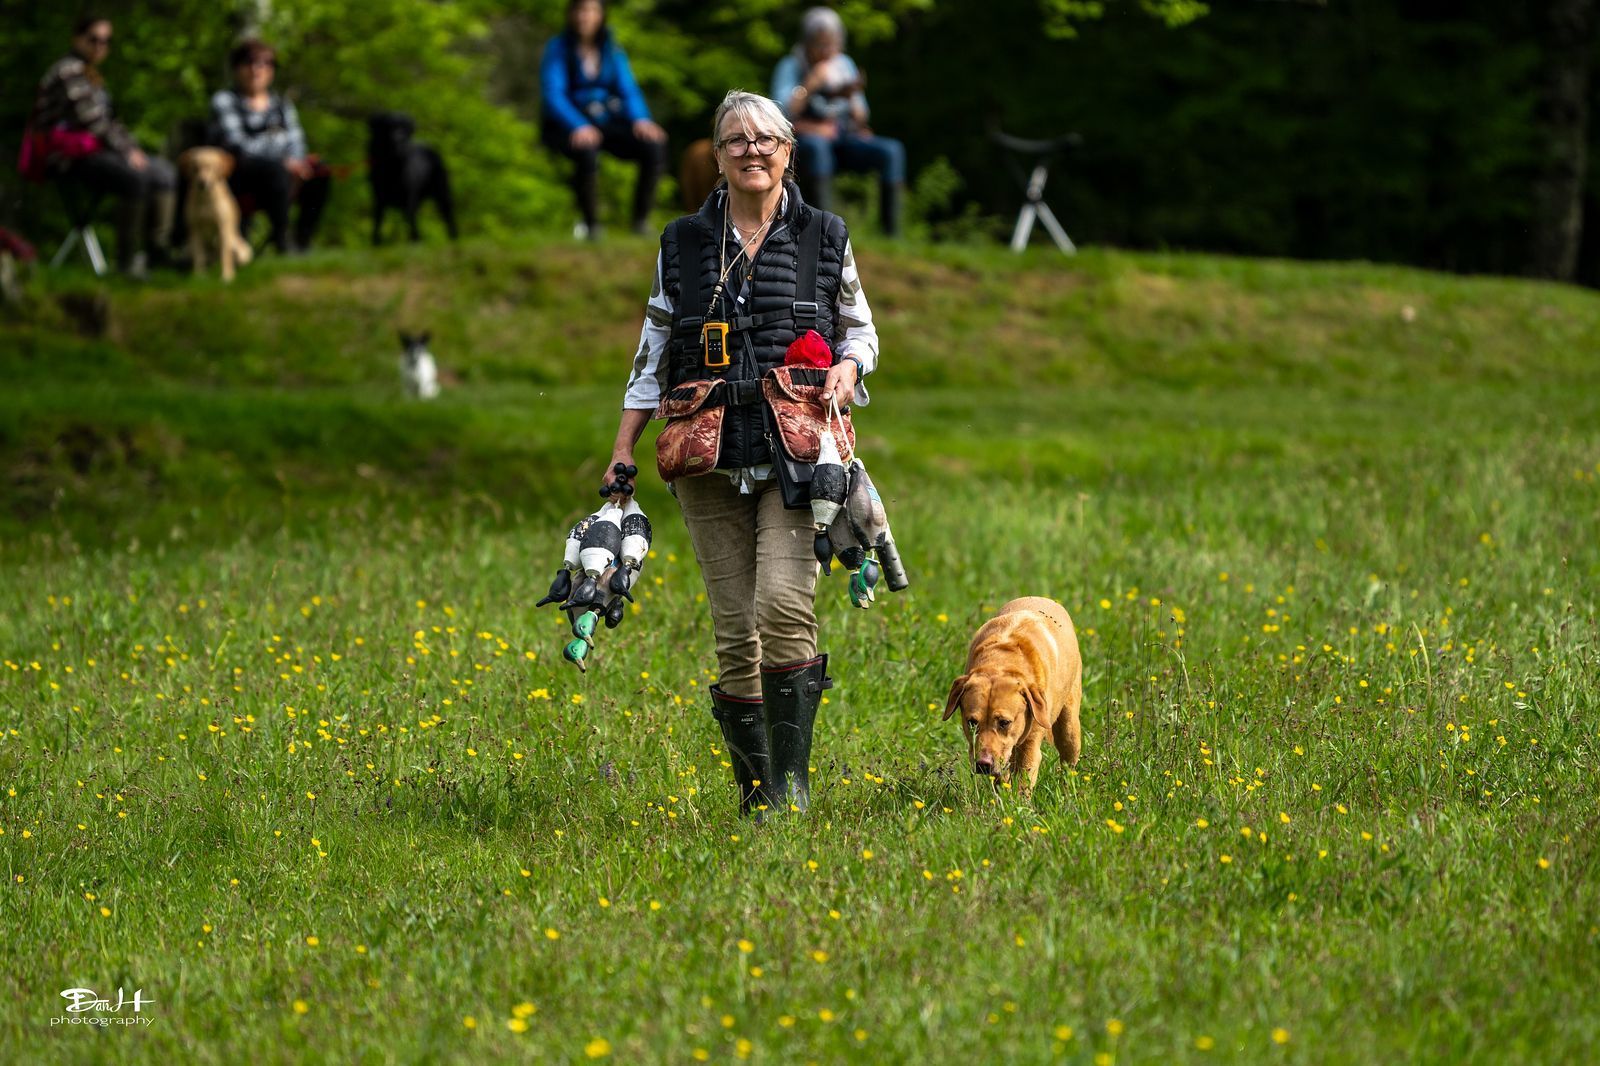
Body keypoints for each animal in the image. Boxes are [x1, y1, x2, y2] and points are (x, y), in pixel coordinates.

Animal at [364, 112, 457, 244]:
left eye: (404, 128)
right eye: (389, 126)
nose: (399, 139)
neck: (392, 167)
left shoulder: (409, 197)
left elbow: (409, 219)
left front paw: (414, 242)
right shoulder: (379, 197)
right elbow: (378, 221)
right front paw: (376, 242)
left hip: (441, 191)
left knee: (448, 214)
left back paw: (453, 238)